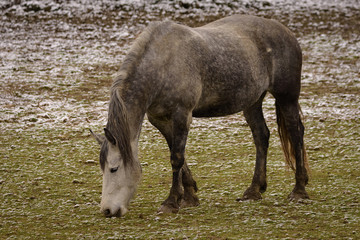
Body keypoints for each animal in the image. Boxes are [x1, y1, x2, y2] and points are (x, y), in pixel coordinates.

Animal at [90, 14, 310, 218]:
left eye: (114, 168)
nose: (107, 210)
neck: (163, 64)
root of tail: (285, 31)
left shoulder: (182, 114)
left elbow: (176, 158)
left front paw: (171, 202)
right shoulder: (160, 119)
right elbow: (178, 154)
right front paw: (189, 196)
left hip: (287, 98)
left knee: (296, 133)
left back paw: (299, 191)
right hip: (253, 102)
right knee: (261, 136)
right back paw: (254, 190)